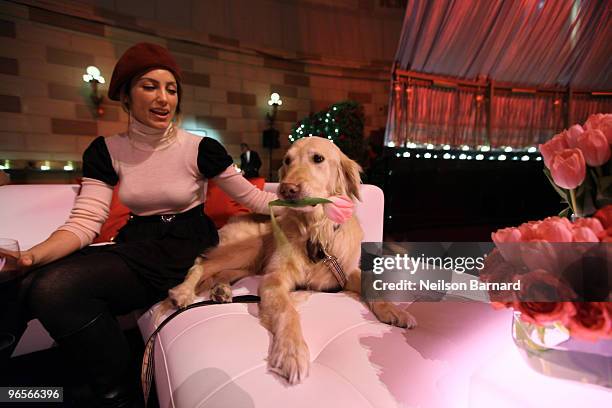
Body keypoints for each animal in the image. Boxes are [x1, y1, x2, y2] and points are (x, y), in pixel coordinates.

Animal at [166, 137, 416, 386]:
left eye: (318, 158)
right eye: (287, 160)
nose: (287, 189)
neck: (315, 232)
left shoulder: (345, 271)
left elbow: (371, 284)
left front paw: (395, 311)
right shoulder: (274, 279)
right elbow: (288, 311)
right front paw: (291, 352)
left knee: (222, 273)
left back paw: (221, 290)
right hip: (249, 247)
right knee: (202, 264)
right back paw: (183, 292)